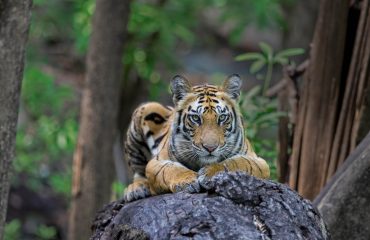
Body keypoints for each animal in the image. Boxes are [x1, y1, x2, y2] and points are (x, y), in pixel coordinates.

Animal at [123, 74, 270, 202]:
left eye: (222, 117)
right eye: (195, 118)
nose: (210, 148)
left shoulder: (258, 161)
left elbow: (236, 163)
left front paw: (211, 173)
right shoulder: (157, 162)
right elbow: (170, 170)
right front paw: (187, 180)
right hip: (146, 109)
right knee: (139, 172)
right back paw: (136, 189)